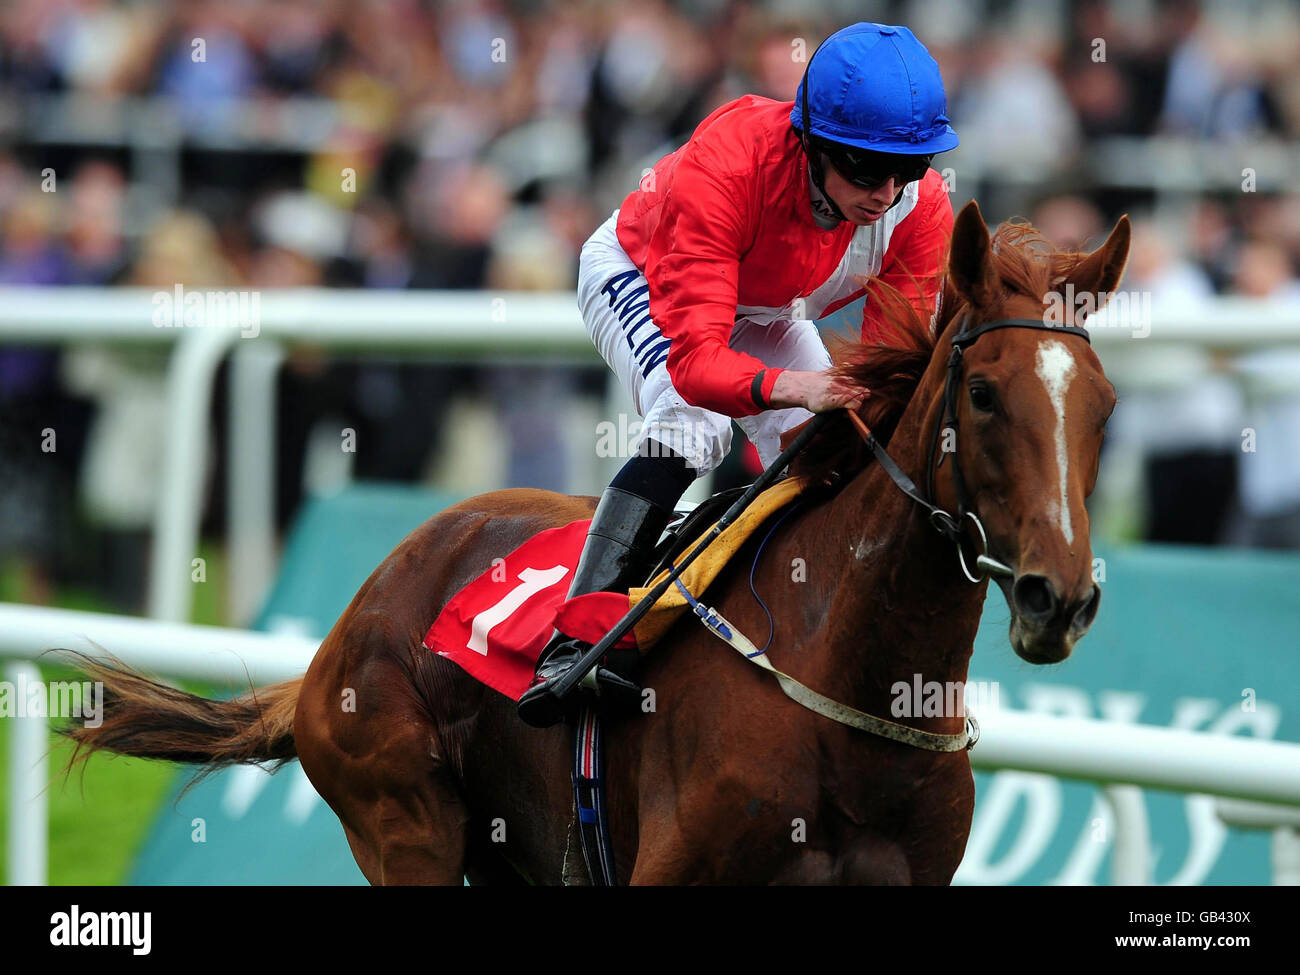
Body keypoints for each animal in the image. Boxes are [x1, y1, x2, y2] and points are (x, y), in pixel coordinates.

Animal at [63, 202, 1128, 889]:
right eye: (983, 392)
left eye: (1107, 406)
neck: (853, 689)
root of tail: (347, 625)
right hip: (403, 822)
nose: (1061, 598)